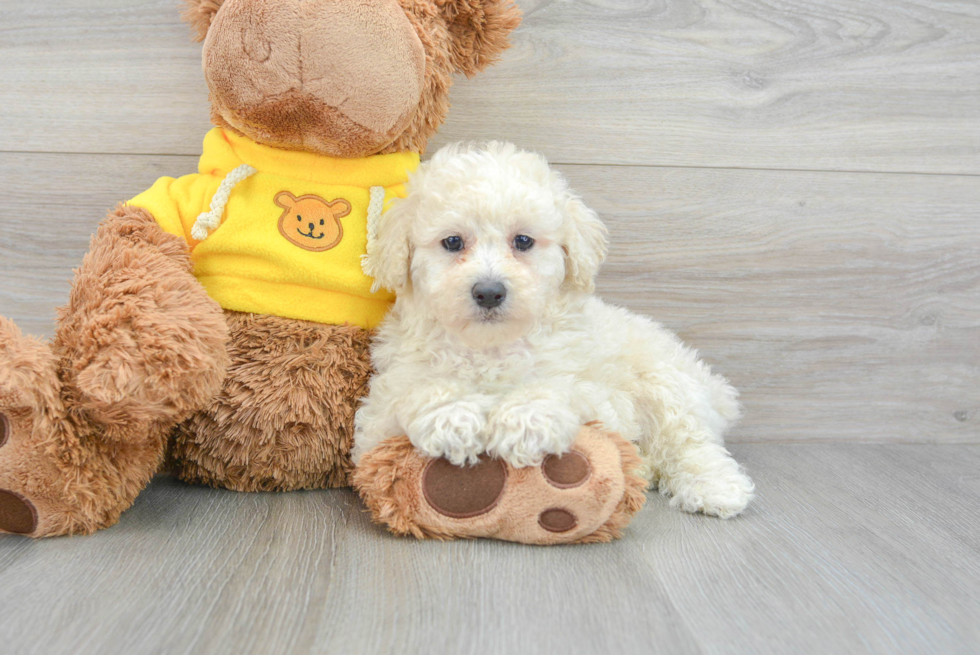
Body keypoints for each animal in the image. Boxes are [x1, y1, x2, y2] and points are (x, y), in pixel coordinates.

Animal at [356, 142, 756, 516]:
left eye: (523, 241)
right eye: (453, 242)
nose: (489, 292)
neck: (490, 347)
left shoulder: (601, 396)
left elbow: (562, 388)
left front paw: (525, 422)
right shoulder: (377, 417)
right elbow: (415, 392)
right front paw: (453, 418)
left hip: (665, 379)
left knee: (691, 441)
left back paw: (715, 488)